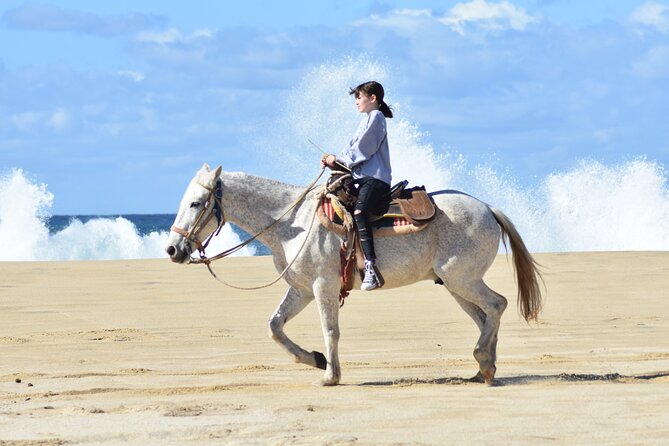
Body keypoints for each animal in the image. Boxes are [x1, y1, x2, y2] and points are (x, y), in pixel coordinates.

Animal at [166, 163, 543, 386]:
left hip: (462, 279)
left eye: (196, 203)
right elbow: (274, 326)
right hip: (455, 284)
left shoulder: (323, 285)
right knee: (484, 316)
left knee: (496, 305)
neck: (293, 223)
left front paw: (331, 375)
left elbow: (330, 330)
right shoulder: (302, 289)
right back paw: (484, 368)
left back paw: (484, 362)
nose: (172, 249)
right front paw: (314, 360)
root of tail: (488, 208)